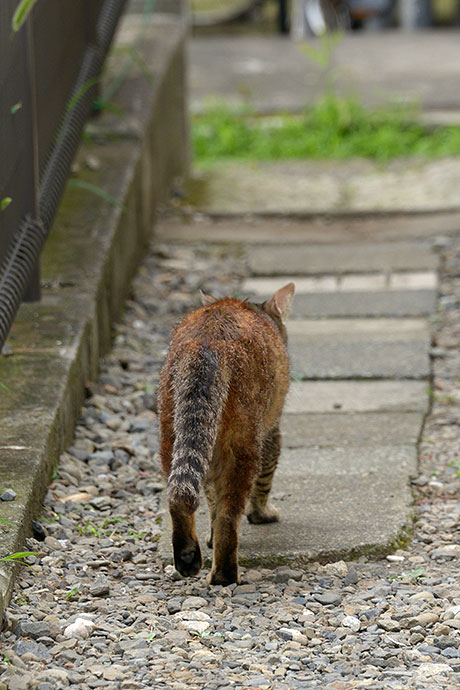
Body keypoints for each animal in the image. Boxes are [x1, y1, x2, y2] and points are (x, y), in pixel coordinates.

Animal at [158, 282, 294, 584]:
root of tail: (207, 341)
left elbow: (210, 499)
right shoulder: (271, 434)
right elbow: (263, 483)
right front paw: (261, 513)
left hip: (172, 433)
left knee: (181, 494)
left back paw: (188, 556)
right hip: (243, 444)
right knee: (229, 517)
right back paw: (224, 574)